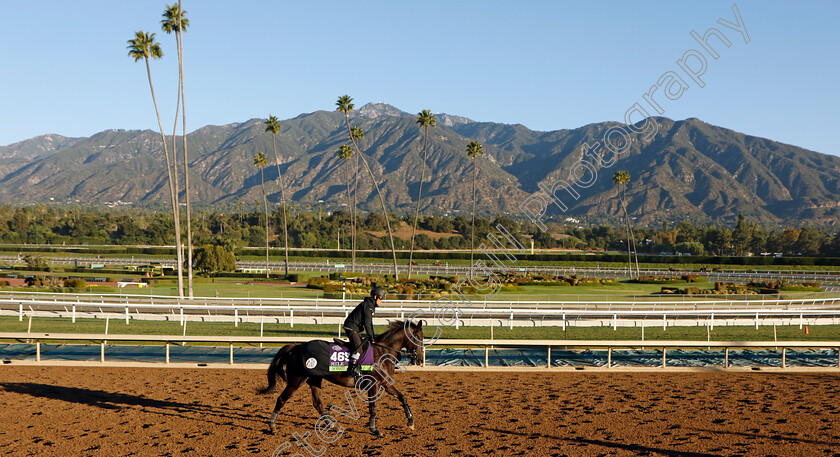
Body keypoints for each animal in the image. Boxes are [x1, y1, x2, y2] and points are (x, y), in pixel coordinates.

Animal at [260, 318, 424, 436]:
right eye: (418, 338)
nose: (421, 359)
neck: (382, 352)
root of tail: (296, 347)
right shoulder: (373, 384)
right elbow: (373, 407)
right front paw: (374, 429)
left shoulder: (385, 383)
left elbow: (402, 397)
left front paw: (410, 421)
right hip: (296, 380)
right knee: (281, 399)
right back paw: (272, 426)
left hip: (314, 380)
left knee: (318, 403)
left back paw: (333, 425)